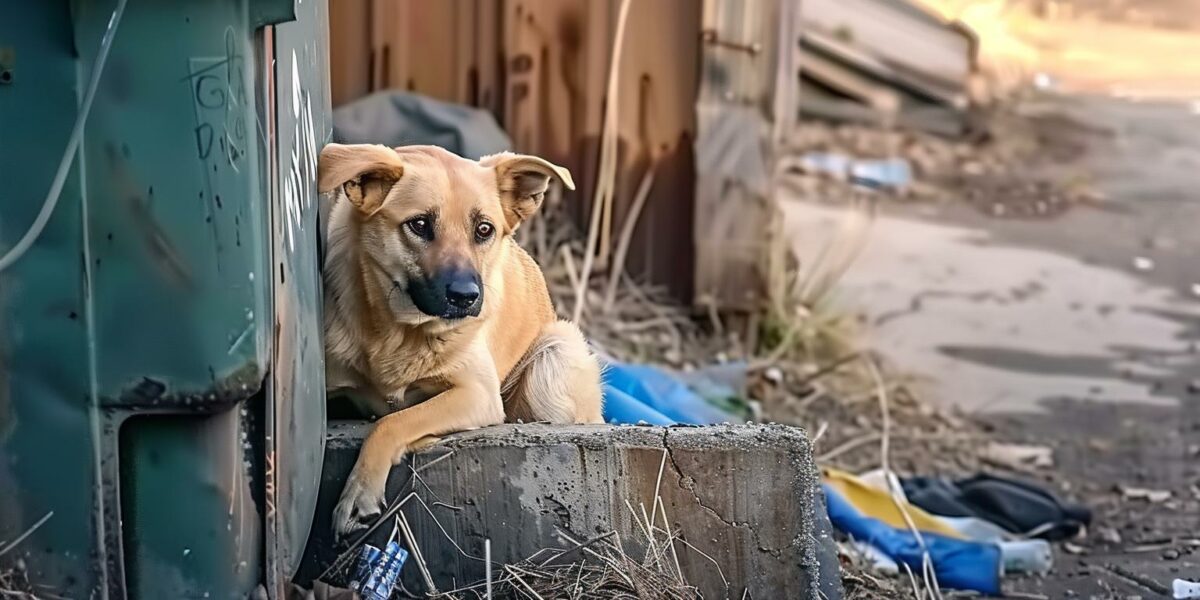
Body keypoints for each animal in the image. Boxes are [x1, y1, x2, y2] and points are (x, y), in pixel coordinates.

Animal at [319, 144, 604, 535]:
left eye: (484, 230)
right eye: (420, 224)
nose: (467, 296)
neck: (399, 332)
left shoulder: (477, 394)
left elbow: (391, 422)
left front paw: (359, 492)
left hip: (555, 355)